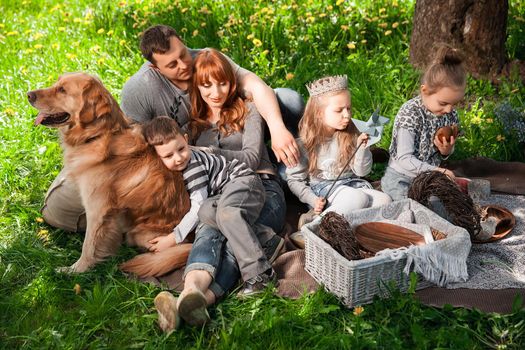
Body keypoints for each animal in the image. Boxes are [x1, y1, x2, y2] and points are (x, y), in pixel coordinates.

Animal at [26, 73, 190, 276]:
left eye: (62, 90)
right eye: (57, 83)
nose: (28, 95)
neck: (98, 136)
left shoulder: (97, 209)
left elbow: (89, 246)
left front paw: (75, 271)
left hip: (142, 234)